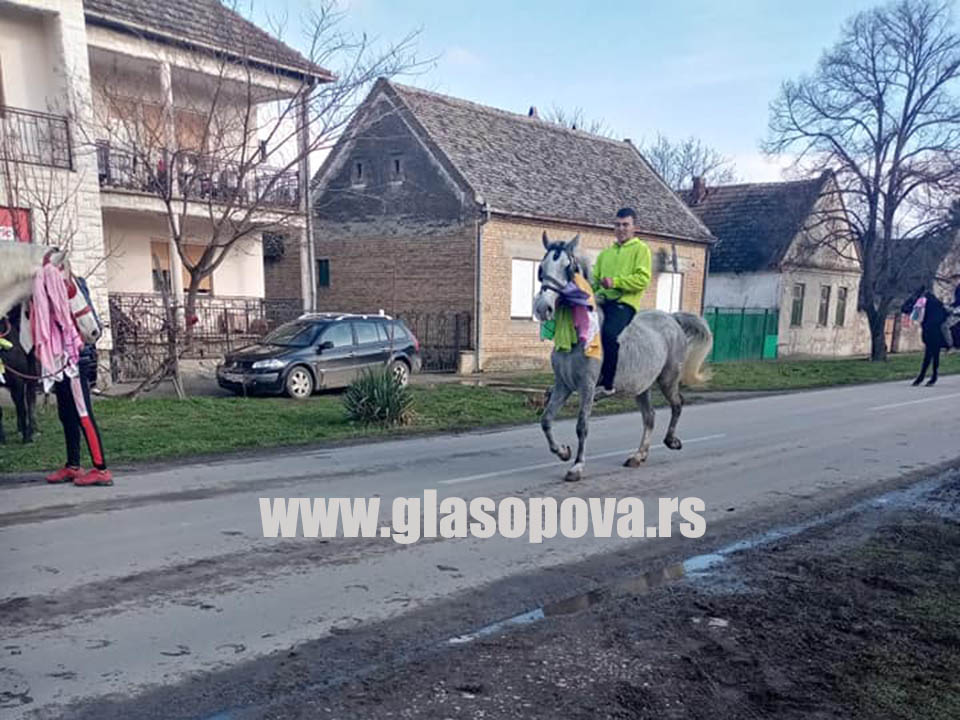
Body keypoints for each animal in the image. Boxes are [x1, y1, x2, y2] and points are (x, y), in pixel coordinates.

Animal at [532, 233, 712, 480]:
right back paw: (638, 456)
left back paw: (671, 441)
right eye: (541, 268)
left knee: (677, 404)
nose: (543, 308)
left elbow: (581, 425)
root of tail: (672, 318)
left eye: (569, 268)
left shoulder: (587, 386)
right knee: (649, 416)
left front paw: (577, 467)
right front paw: (563, 452)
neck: (577, 333)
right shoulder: (563, 385)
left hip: (667, 379)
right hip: (642, 386)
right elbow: (546, 420)